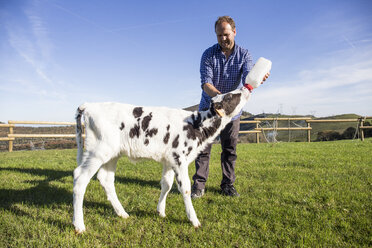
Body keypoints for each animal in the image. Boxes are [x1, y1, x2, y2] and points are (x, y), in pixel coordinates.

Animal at [72, 84, 253, 233]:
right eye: (229, 96)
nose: (245, 88)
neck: (197, 125)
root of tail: (90, 105)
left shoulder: (169, 160)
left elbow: (166, 184)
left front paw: (161, 211)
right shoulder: (179, 159)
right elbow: (185, 188)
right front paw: (194, 220)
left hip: (112, 154)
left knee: (105, 179)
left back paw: (122, 213)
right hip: (98, 151)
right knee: (80, 178)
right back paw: (79, 225)